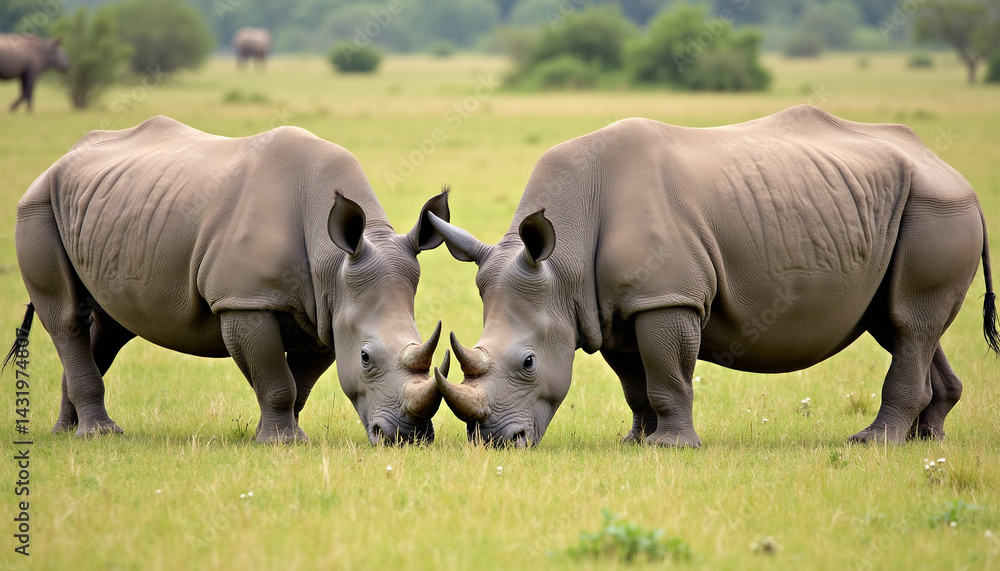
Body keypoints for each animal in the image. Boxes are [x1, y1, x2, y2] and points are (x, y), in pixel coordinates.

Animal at [8, 116, 450, 444]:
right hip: (37, 206)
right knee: (67, 319)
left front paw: (277, 434)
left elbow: (299, 380)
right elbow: (277, 378)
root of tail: (59, 161)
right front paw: (282, 442)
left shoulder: (328, 313)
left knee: (110, 326)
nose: (407, 437)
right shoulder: (245, 300)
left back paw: (68, 432)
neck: (335, 263)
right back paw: (98, 435)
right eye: (366, 357)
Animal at [428, 105, 999, 448]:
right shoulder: (608, 307)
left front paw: (669, 447)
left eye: (528, 363)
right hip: (910, 209)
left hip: (936, 208)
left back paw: (871, 443)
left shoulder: (666, 296)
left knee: (908, 323)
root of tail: (954, 173)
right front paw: (636, 442)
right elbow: (635, 382)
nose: (495, 442)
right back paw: (927, 440)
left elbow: (666, 373)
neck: (562, 256)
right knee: (902, 324)